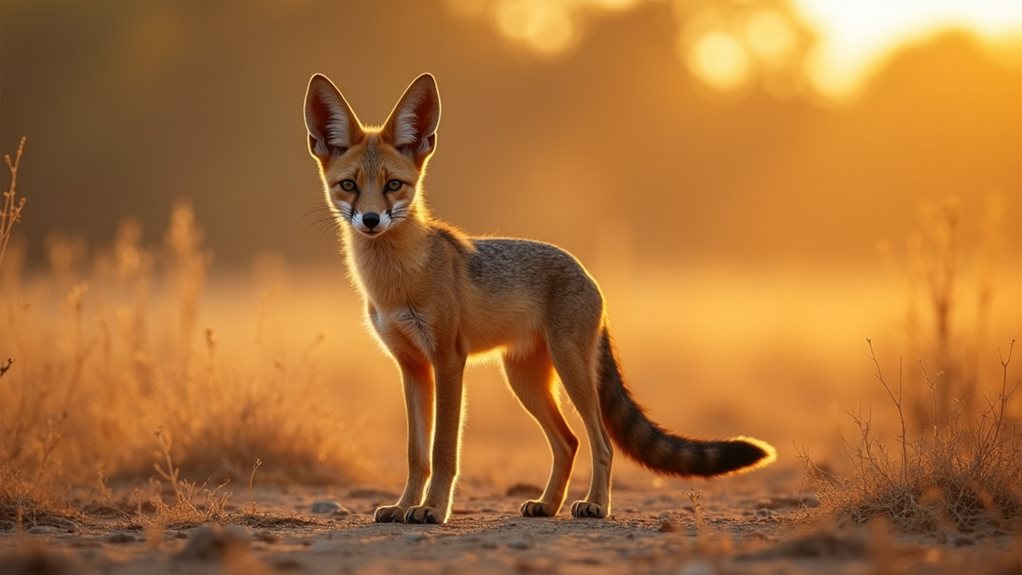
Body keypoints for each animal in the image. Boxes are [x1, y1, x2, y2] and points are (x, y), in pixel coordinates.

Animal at [303, 73, 776, 525]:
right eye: (349, 185)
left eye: (394, 185)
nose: (370, 219)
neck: (398, 281)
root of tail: (588, 276)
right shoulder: (412, 367)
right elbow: (416, 454)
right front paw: (403, 506)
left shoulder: (449, 360)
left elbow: (443, 451)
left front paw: (433, 510)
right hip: (525, 380)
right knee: (568, 442)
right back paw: (548, 504)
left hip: (570, 371)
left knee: (601, 442)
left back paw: (596, 506)